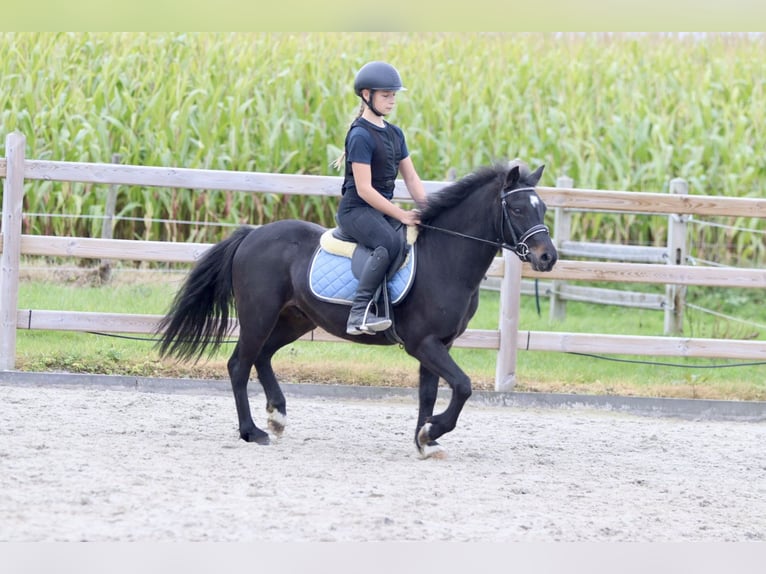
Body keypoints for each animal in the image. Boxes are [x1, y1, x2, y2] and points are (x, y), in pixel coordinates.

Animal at [156, 161, 560, 460]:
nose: (547, 258)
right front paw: (433, 430)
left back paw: (278, 417)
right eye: (518, 208)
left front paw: (424, 440)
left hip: (294, 319)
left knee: (263, 356)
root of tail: (251, 235)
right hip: (259, 315)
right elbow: (462, 386)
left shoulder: (438, 344)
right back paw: (252, 431)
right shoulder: (424, 343)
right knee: (240, 364)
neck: (445, 259)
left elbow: (429, 393)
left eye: (542, 208)